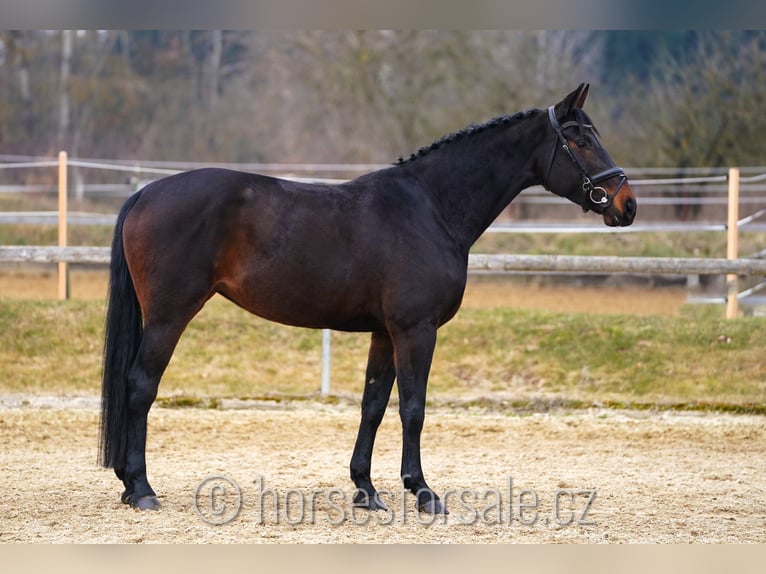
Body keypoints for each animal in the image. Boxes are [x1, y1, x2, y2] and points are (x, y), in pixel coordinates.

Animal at [100, 83, 636, 516]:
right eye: (580, 139)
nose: (626, 204)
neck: (430, 207)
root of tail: (147, 192)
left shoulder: (384, 332)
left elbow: (373, 404)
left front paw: (366, 489)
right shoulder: (415, 330)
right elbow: (413, 407)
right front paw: (423, 492)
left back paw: (128, 485)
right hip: (169, 316)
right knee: (140, 386)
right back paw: (142, 489)